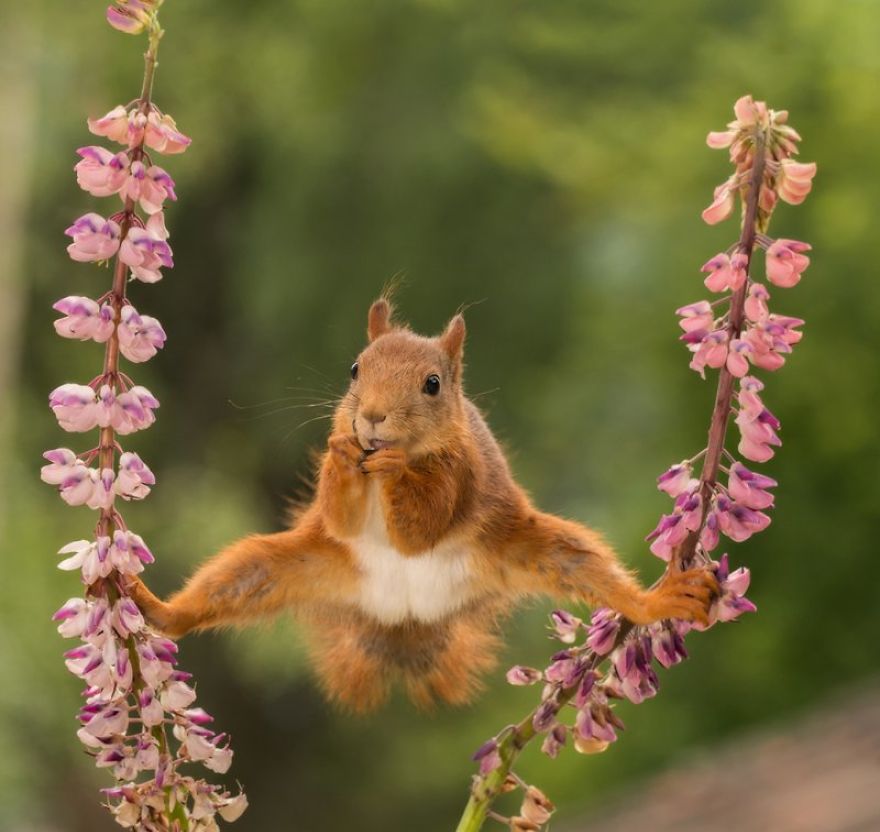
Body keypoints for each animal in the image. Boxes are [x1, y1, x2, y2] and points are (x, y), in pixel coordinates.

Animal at [132, 300, 720, 708]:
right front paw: (343, 453)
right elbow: (342, 518)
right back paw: (153, 606)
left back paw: (660, 600)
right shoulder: (339, 514)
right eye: (354, 369)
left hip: (532, 548)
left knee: (590, 569)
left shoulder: (460, 476)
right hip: (289, 565)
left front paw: (394, 470)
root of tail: (406, 616)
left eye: (432, 384)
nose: (370, 417)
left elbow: (421, 529)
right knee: (225, 586)